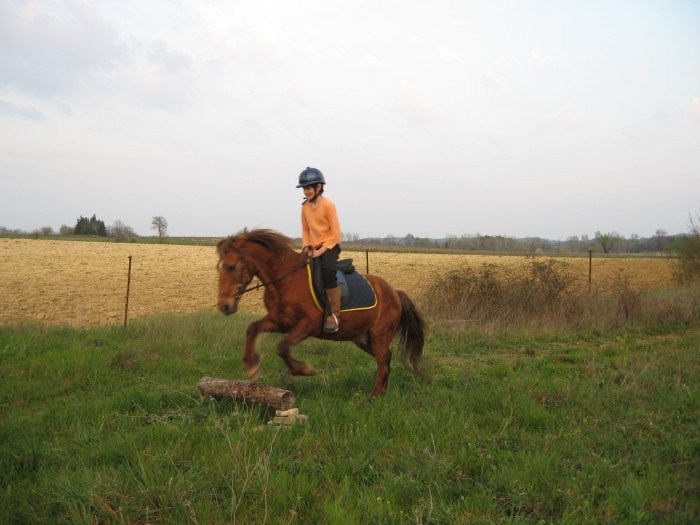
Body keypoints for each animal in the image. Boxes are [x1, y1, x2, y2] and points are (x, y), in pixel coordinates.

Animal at [215, 227, 426, 396]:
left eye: (232, 266)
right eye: (219, 267)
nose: (224, 305)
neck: (285, 280)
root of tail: (395, 292)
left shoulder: (308, 325)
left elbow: (282, 346)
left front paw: (304, 369)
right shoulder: (279, 322)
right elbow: (252, 329)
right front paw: (252, 368)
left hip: (379, 335)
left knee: (382, 363)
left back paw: (373, 398)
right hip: (363, 338)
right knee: (387, 359)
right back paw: (382, 393)